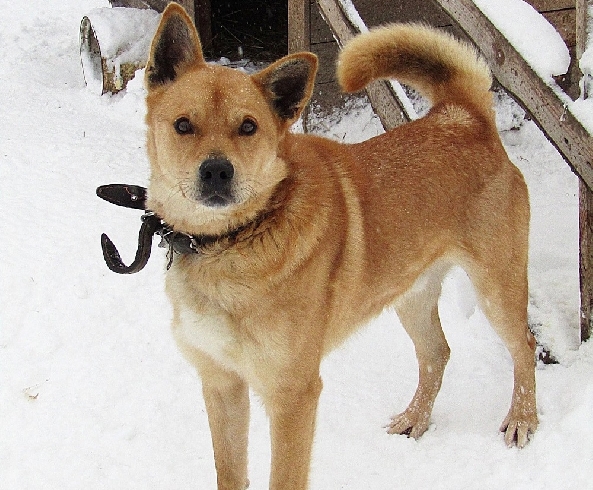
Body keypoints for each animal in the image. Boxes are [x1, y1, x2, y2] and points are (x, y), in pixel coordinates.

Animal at [142, 4, 536, 490]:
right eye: (183, 125)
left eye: (248, 127)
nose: (217, 171)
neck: (230, 242)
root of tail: (463, 116)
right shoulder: (221, 382)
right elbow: (229, 471)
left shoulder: (293, 393)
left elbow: (284, 477)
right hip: (410, 292)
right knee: (437, 354)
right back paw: (415, 418)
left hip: (497, 288)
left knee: (524, 346)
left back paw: (523, 418)